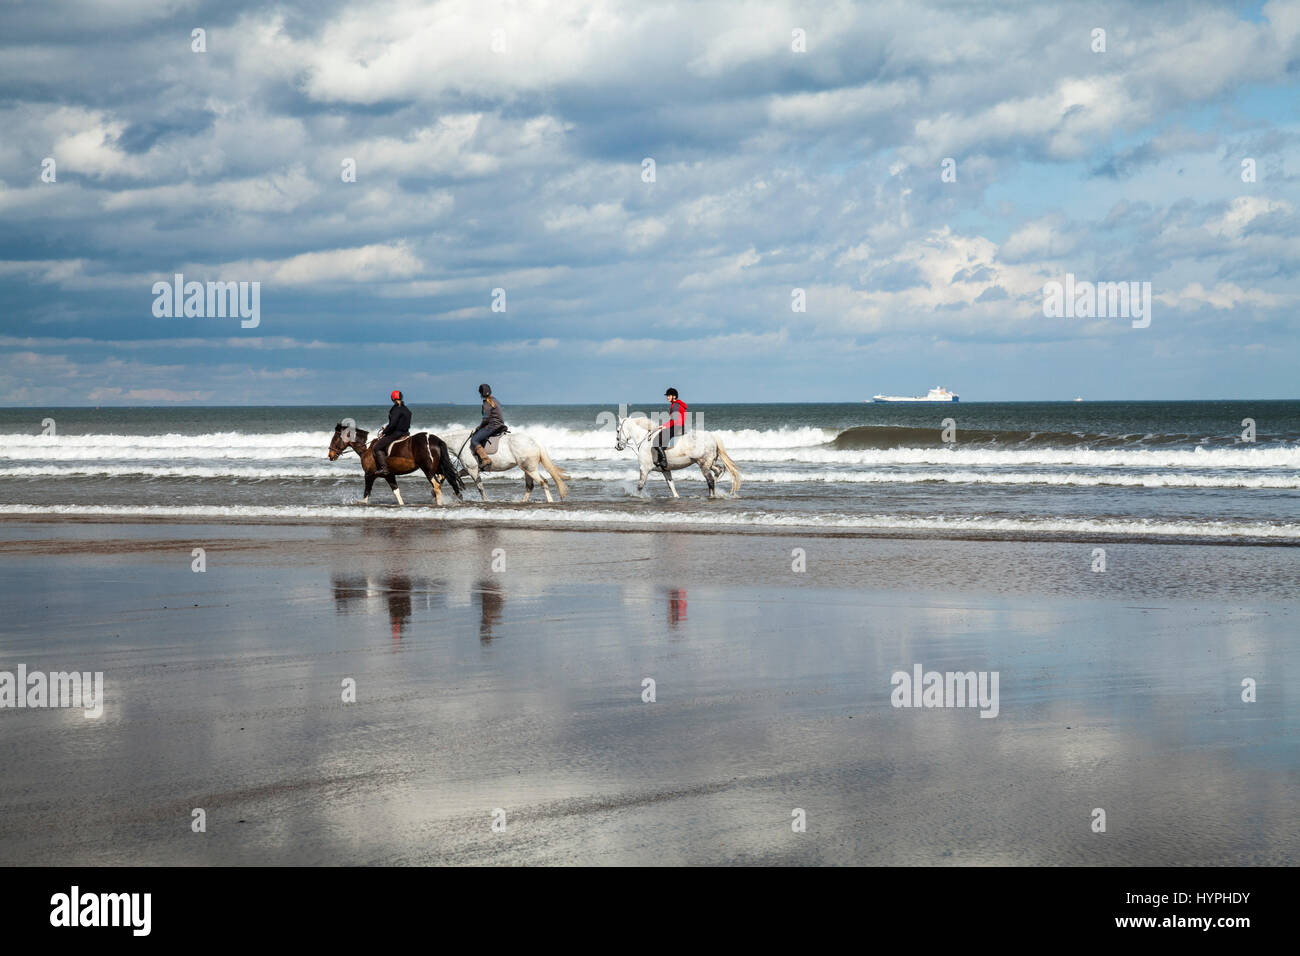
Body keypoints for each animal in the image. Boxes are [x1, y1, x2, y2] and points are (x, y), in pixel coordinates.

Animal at [327, 421, 465, 504]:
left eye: (335, 438)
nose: (330, 455)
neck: (367, 448)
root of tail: (435, 439)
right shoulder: (389, 475)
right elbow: (396, 491)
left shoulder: (369, 475)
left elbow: (366, 493)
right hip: (438, 467)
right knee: (446, 478)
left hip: (428, 470)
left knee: (437, 486)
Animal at [444, 426, 572, 502]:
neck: (460, 442)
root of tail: (534, 442)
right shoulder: (468, 469)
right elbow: (455, 475)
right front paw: (456, 494)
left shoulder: (473, 470)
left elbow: (480, 487)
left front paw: (485, 501)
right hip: (528, 469)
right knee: (530, 486)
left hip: (529, 469)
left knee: (543, 482)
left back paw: (550, 501)